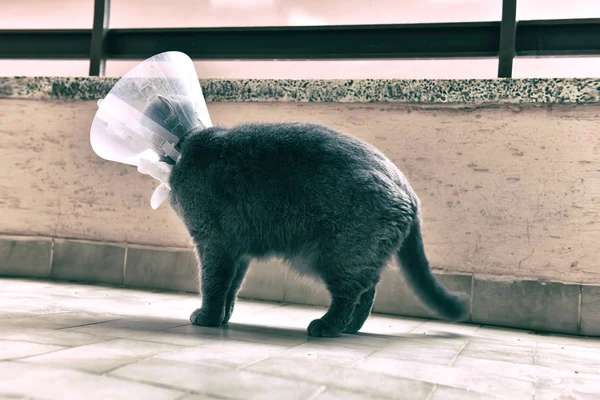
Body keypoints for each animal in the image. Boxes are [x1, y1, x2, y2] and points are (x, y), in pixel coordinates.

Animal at [145, 97, 468, 338]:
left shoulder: (212, 243)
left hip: (335, 254)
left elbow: (213, 284)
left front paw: (208, 317)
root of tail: (408, 190)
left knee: (351, 294)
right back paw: (350, 328)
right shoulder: (238, 251)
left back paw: (328, 326)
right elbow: (231, 288)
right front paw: (223, 318)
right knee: (368, 291)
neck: (186, 150)